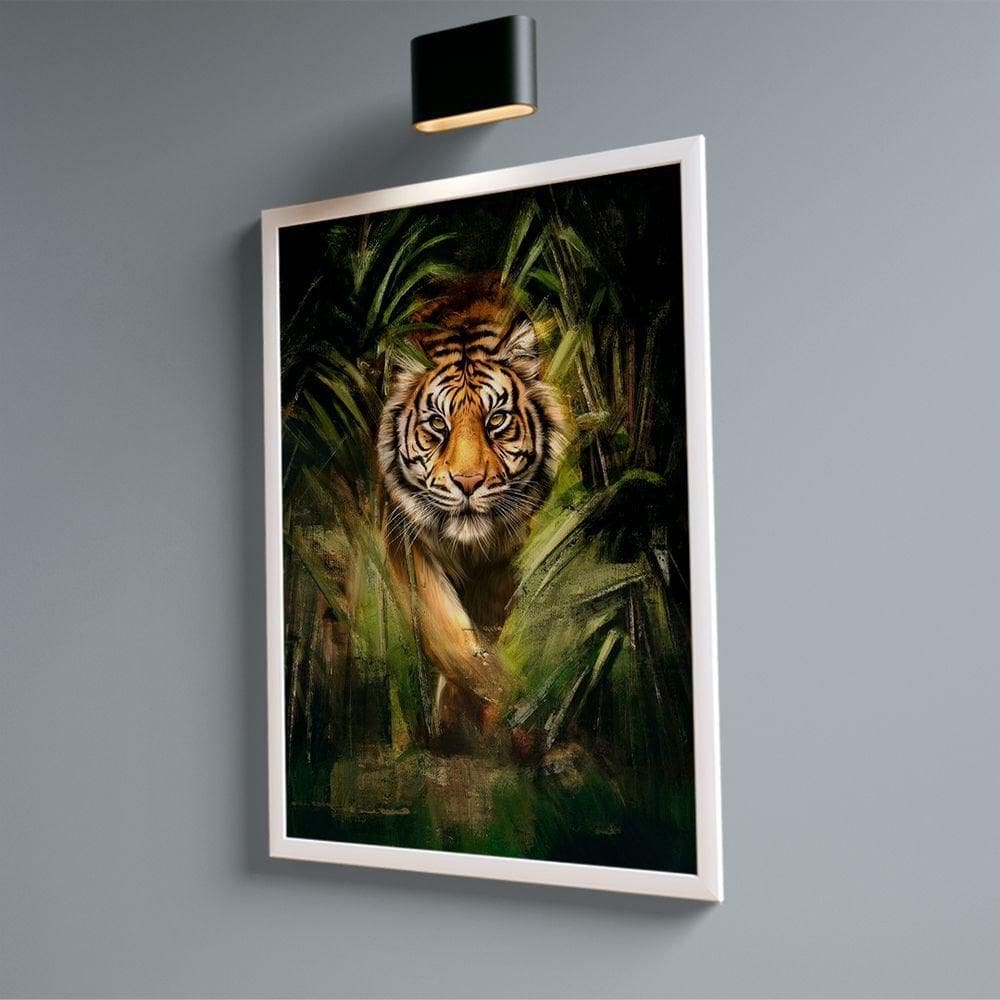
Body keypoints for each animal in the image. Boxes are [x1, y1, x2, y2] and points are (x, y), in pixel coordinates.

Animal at [377, 273, 566, 744]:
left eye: (496, 420)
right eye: (437, 424)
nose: (467, 482)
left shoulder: (503, 556)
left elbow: (482, 631)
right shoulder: (405, 539)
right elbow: (447, 631)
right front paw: (507, 700)